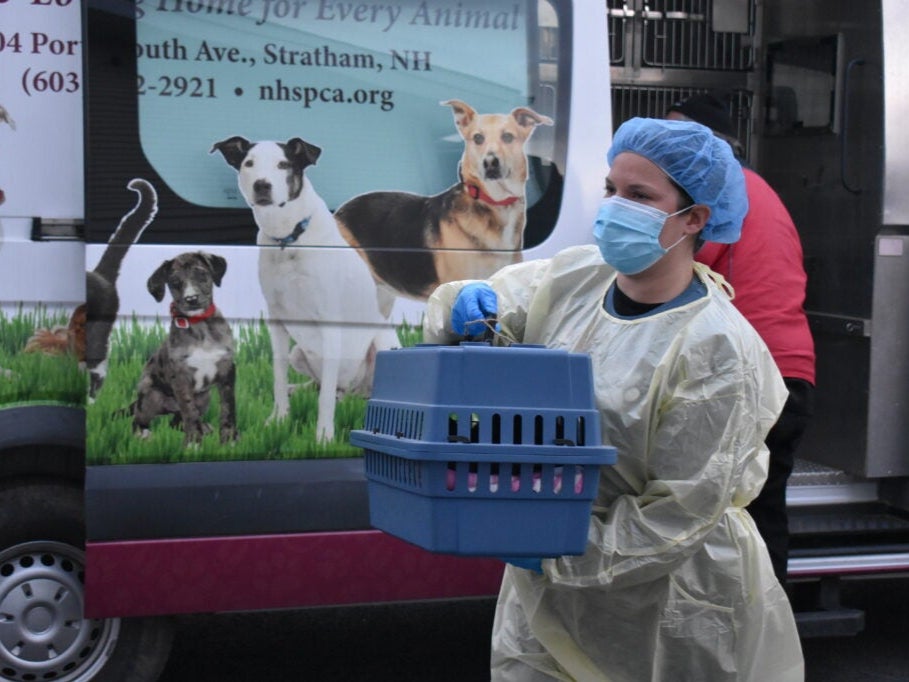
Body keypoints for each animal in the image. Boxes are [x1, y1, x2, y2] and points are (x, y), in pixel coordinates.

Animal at [133, 251, 238, 446]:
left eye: (201, 274)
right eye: (174, 282)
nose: (192, 299)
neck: (199, 324)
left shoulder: (227, 369)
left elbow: (228, 407)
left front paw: (229, 440)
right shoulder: (181, 376)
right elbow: (189, 410)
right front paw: (193, 442)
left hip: (204, 397)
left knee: (176, 421)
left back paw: (204, 427)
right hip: (152, 396)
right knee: (138, 420)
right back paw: (143, 434)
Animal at [215, 135, 400, 440]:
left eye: (283, 164)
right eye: (248, 163)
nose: (262, 185)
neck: (288, 239)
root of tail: (355, 390)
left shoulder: (330, 321)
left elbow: (324, 399)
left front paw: (324, 437)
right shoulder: (277, 321)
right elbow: (279, 378)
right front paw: (278, 420)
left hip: (381, 344)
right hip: (299, 354)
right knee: (323, 386)